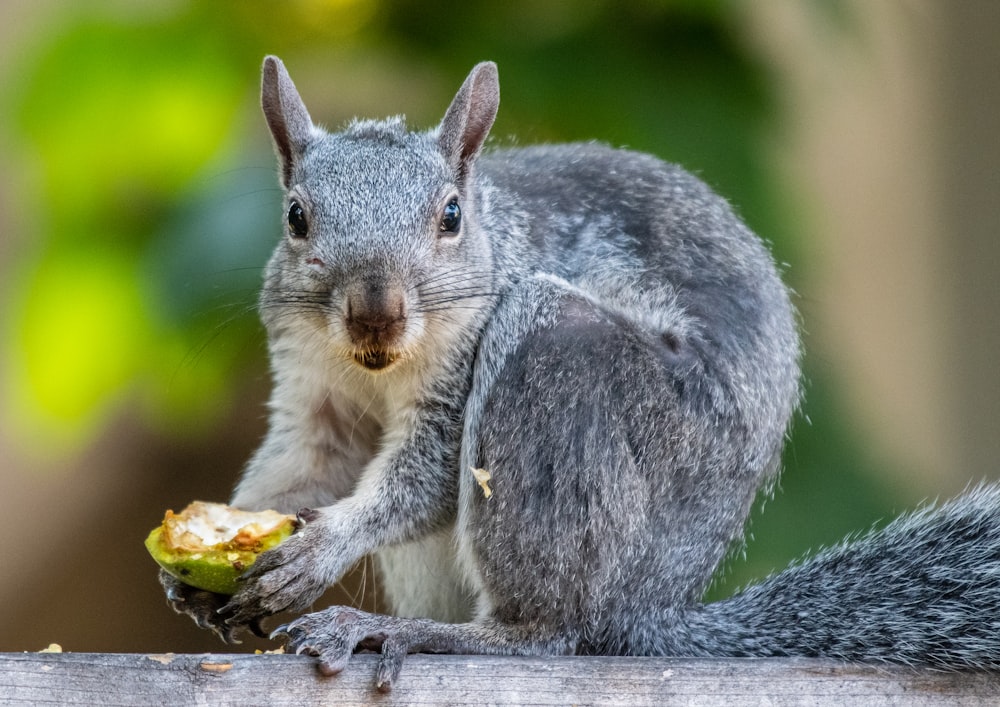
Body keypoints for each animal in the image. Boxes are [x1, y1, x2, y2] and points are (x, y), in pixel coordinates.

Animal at [160, 56, 1000, 692]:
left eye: (452, 215)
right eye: (296, 217)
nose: (376, 314)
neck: (376, 368)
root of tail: (650, 607)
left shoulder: (459, 378)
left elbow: (424, 476)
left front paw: (325, 545)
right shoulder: (316, 392)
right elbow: (307, 462)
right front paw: (218, 542)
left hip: (561, 365)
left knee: (550, 633)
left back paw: (406, 632)